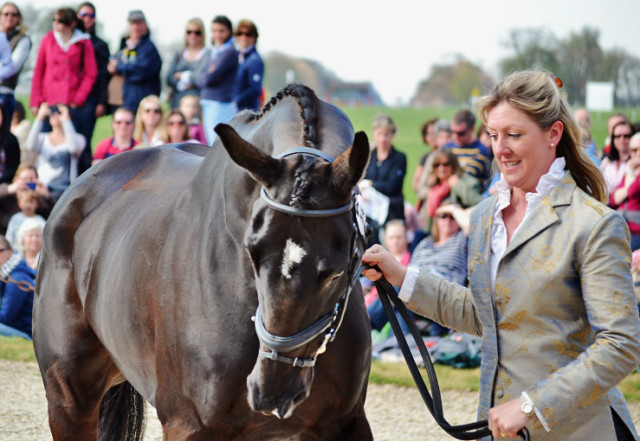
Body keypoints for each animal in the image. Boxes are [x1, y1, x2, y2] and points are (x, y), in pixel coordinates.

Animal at [33, 84, 376, 438]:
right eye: (253, 252)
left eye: (336, 272)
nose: (272, 391)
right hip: (69, 401)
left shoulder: (347, 423)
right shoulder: (188, 424)